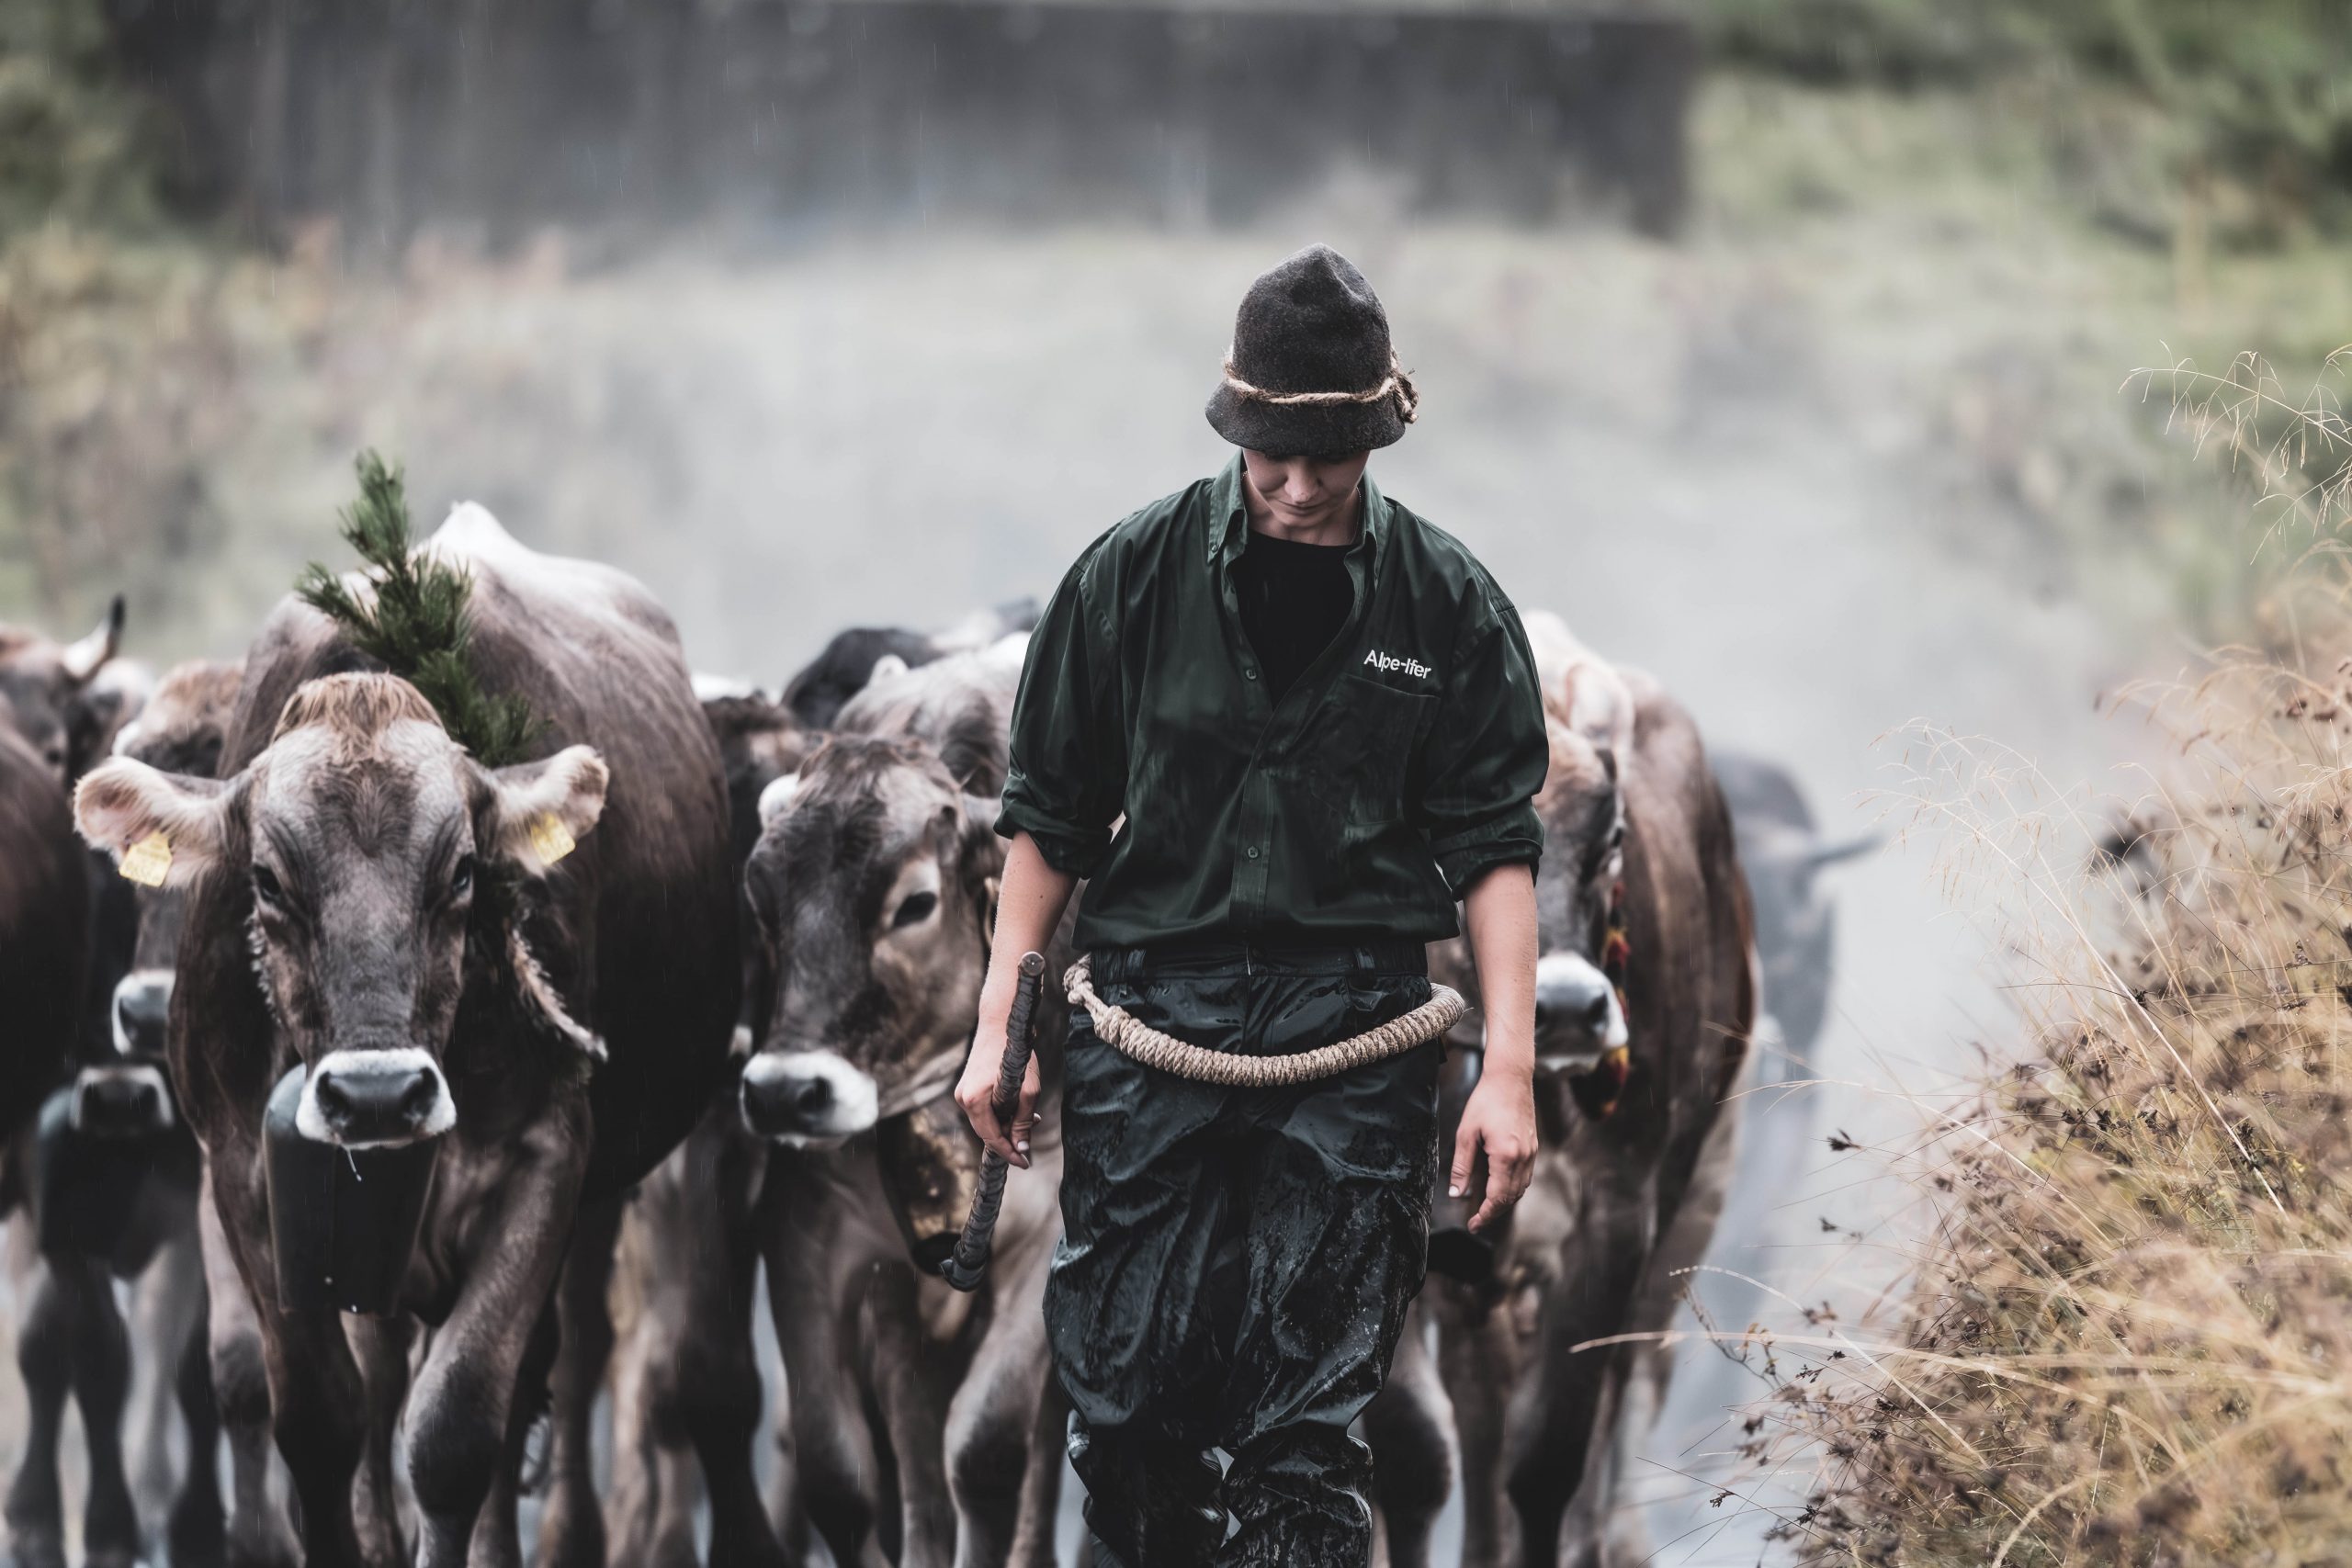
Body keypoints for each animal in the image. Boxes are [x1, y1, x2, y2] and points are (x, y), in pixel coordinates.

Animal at [72, 505, 741, 1568]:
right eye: (266, 880)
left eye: (464, 870)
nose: (379, 1094)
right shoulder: (245, 1175)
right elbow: (320, 1418)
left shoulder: (547, 1162)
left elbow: (459, 1428)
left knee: (528, 1385)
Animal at [738, 638, 1069, 1568]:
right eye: (760, 896)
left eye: (915, 903)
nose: (786, 1093)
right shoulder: (808, 1232)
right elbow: (837, 1474)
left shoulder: (1048, 1231)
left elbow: (988, 1451)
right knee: (915, 1462)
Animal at [1422, 613, 1756, 1568]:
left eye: (1611, 842)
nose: (1569, 1008)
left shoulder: (1616, 1216)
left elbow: (1547, 1461)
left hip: (1686, 1208)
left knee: (1624, 1392)